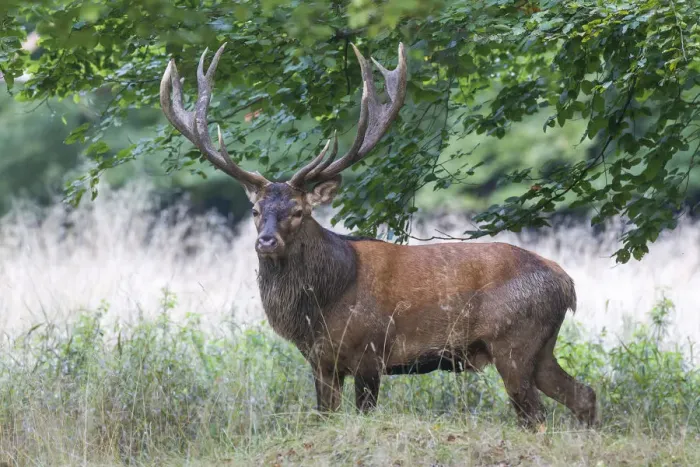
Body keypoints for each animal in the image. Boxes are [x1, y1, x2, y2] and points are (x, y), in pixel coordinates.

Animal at [159, 42, 598, 429]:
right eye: (255, 211)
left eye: (299, 212)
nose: (266, 242)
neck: (321, 306)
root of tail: (567, 283)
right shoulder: (321, 361)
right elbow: (324, 417)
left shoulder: (371, 352)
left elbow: (364, 413)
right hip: (541, 346)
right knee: (584, 394)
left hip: (513, 341)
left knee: (534, 416)